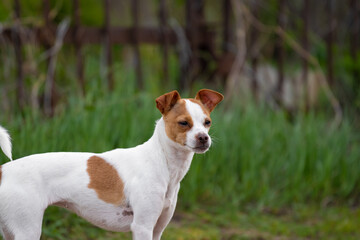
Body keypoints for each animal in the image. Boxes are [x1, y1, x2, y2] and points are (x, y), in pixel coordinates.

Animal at [0, 89, 224, 239]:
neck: (162, 162)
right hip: (27, 229)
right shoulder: (142, 226)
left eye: (207, 122)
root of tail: (3, 171)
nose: (203, 138)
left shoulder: (158, 229)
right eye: (183, 123)